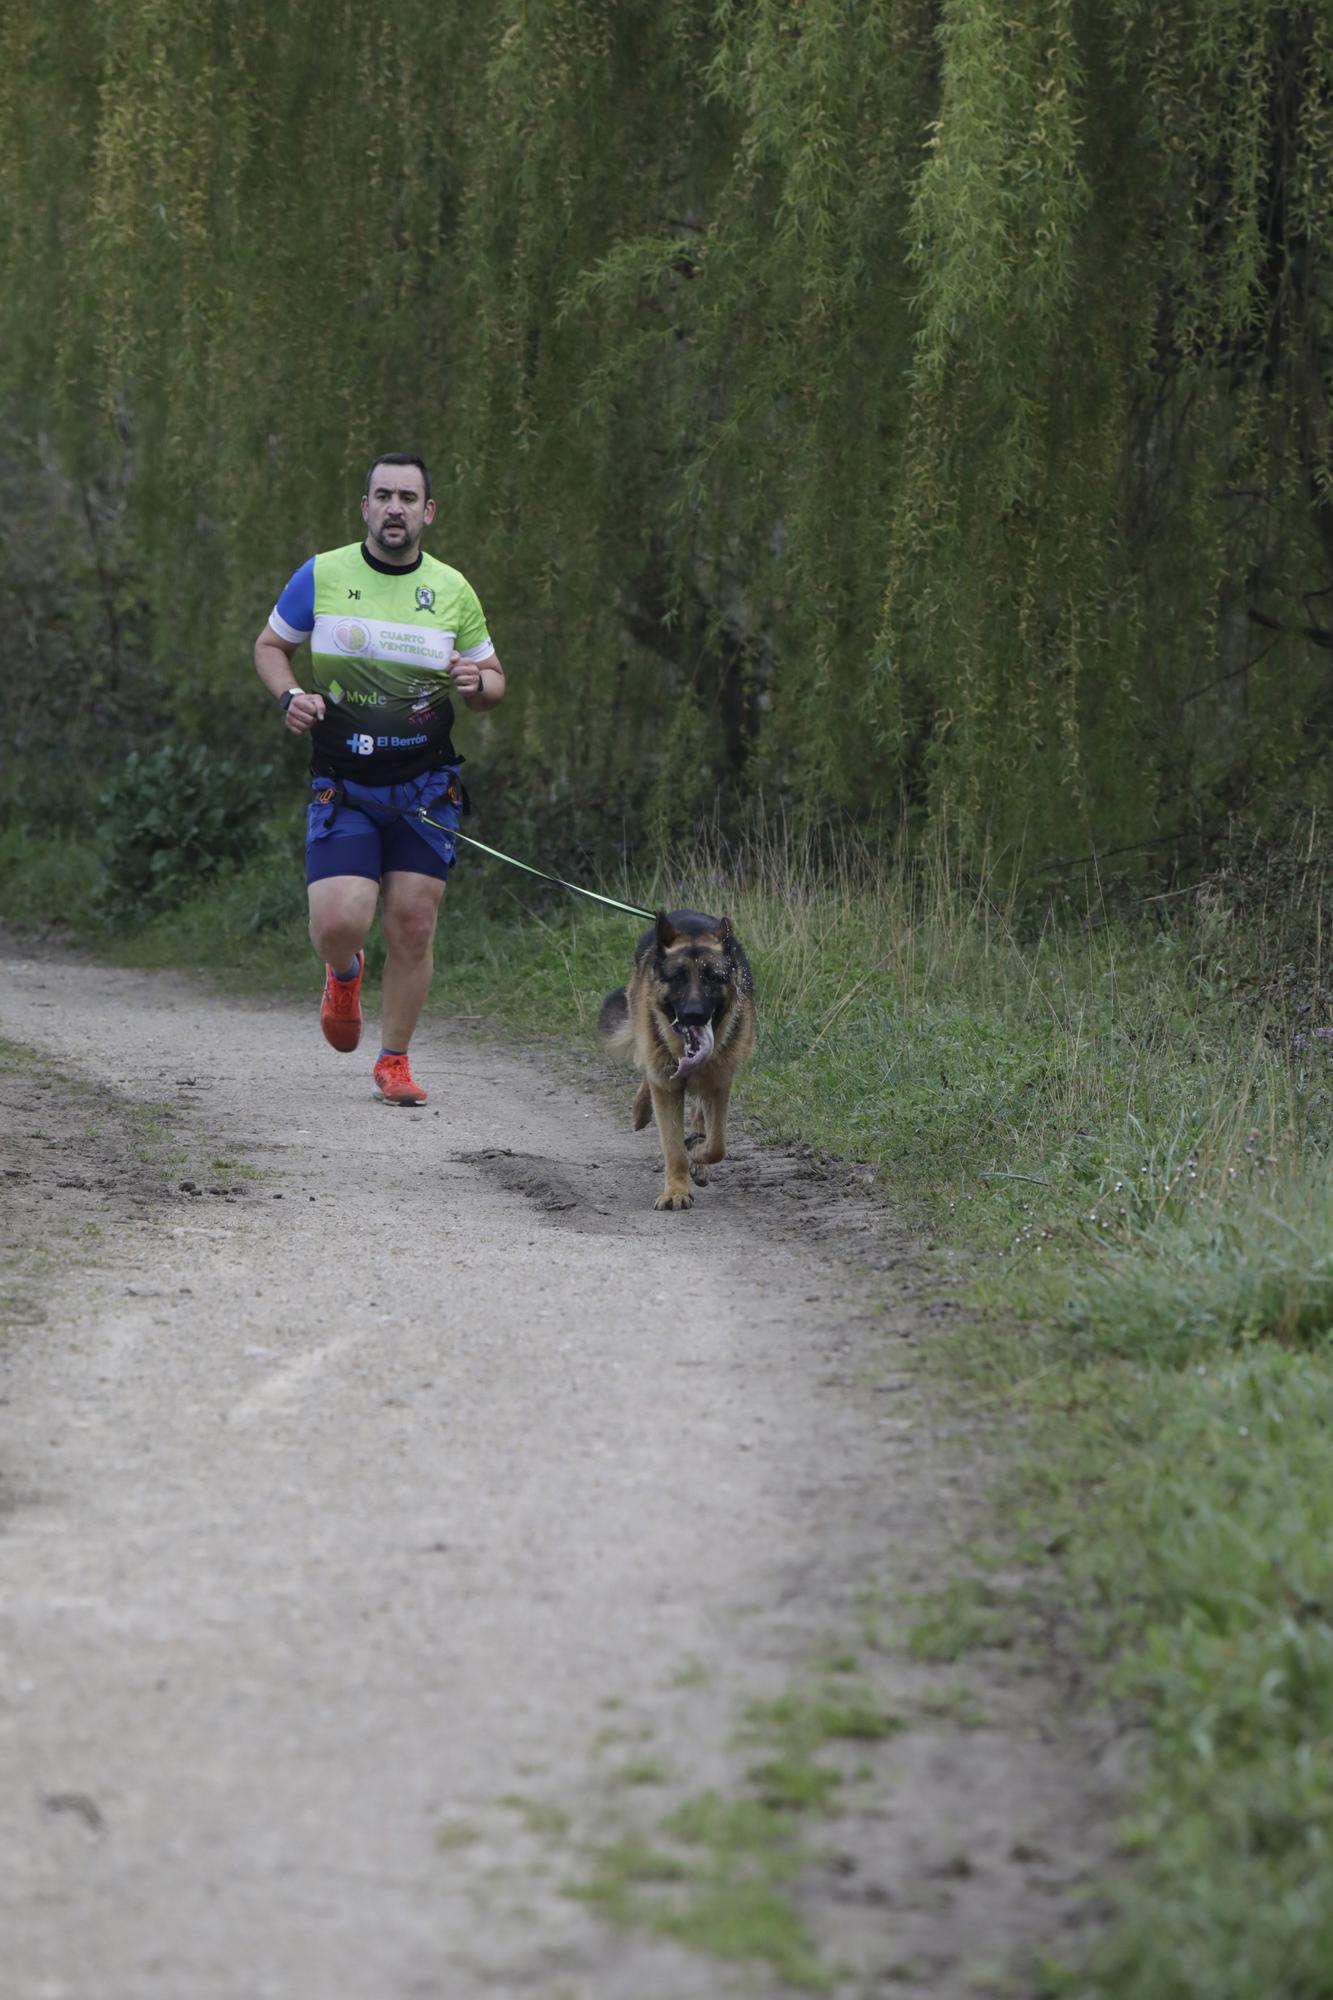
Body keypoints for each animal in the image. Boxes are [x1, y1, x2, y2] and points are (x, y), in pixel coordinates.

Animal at [596, 916, 752, 1208]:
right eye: (678, 978)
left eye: (711, 977)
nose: (694, 1015)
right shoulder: (667, 1088)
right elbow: (674, 1147)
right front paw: (676, 1192)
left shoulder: (719, 1084)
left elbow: (717, 1144)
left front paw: (698, 1153)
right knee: (648, 1074)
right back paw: (640, 1110)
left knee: (700, 1116)